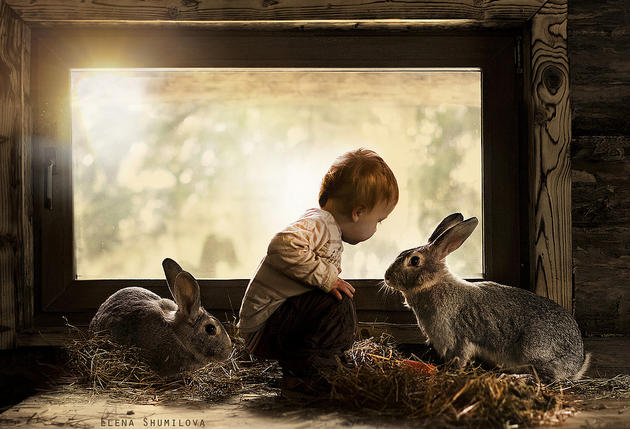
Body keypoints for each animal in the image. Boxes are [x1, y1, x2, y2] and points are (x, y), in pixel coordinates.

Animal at [386, 213, 592, 378]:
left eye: (414, 261)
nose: (387, 277)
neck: (434, 284)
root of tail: (576, 365)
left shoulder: (457, 339)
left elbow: (459, 358)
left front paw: (450, 373)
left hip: (533, 350)